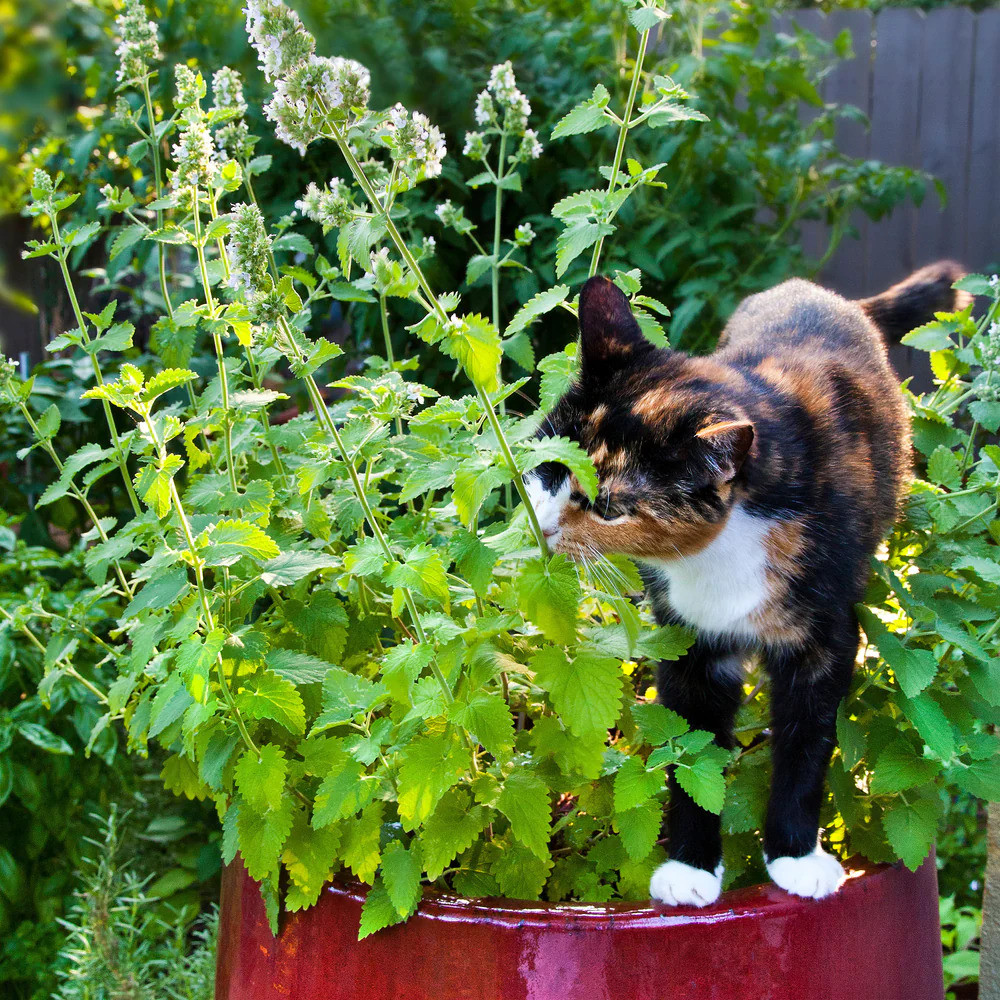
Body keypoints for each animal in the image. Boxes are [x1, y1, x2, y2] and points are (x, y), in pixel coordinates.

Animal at [528, 264, 964, 908]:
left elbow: (807, 744)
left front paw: (796, 857)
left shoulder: (827, 638)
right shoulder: (689, 640)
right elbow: (692, 751)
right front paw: (690, 869)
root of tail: (821, 292)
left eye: (607, 508)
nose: (545, 529)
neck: (725, 548)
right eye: (549, 466)